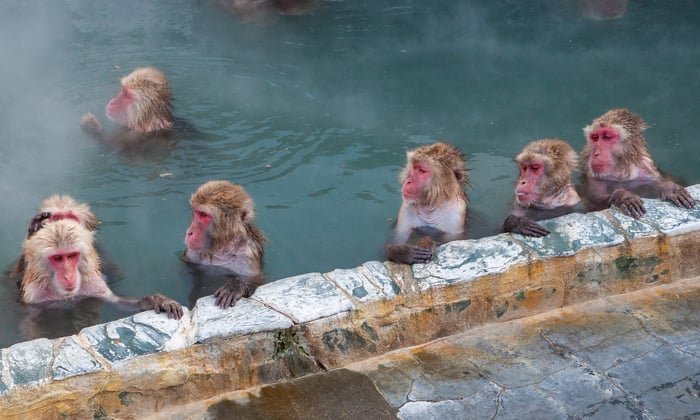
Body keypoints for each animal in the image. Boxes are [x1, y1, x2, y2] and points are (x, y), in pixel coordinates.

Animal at [17, 219, 183, 319]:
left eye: (71, 255)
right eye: (57, 258)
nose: (68, 276)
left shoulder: (92, 283)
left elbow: (117, 302)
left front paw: (157, 301)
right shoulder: (35, 295)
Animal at [183, 180, 266, 309]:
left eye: (204, 215)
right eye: (197, 212)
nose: (189, 233)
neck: (222, 247)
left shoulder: (248, 256)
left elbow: (257, 281)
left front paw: (236, 286)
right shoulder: (193, 251)